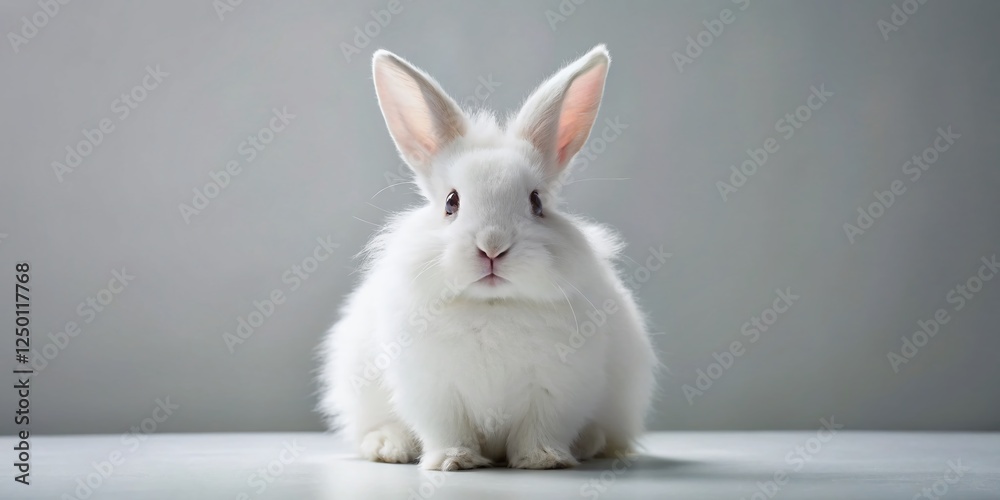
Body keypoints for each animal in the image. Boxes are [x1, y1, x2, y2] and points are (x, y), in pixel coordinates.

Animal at [316, 44, 658, 471]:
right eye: (451, 202)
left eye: (537, 202)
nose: (492, 247)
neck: (492, 305)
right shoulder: (434, 392)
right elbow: (448, 430)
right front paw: (453, 461)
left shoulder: (556, 391)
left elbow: (541, 428)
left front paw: (543, 459)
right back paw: (388, 447)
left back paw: (588, 443)